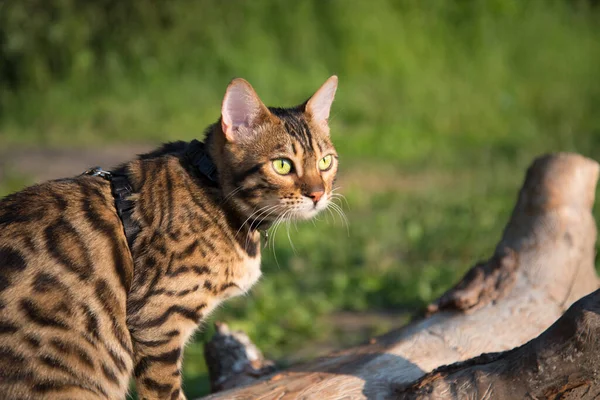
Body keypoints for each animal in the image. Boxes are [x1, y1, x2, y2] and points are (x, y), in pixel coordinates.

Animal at [0, 76, 338, 398]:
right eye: (281, 165)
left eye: (326, 162)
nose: (318, 194)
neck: (212, 188)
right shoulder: (156, 322)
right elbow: (167, 391)